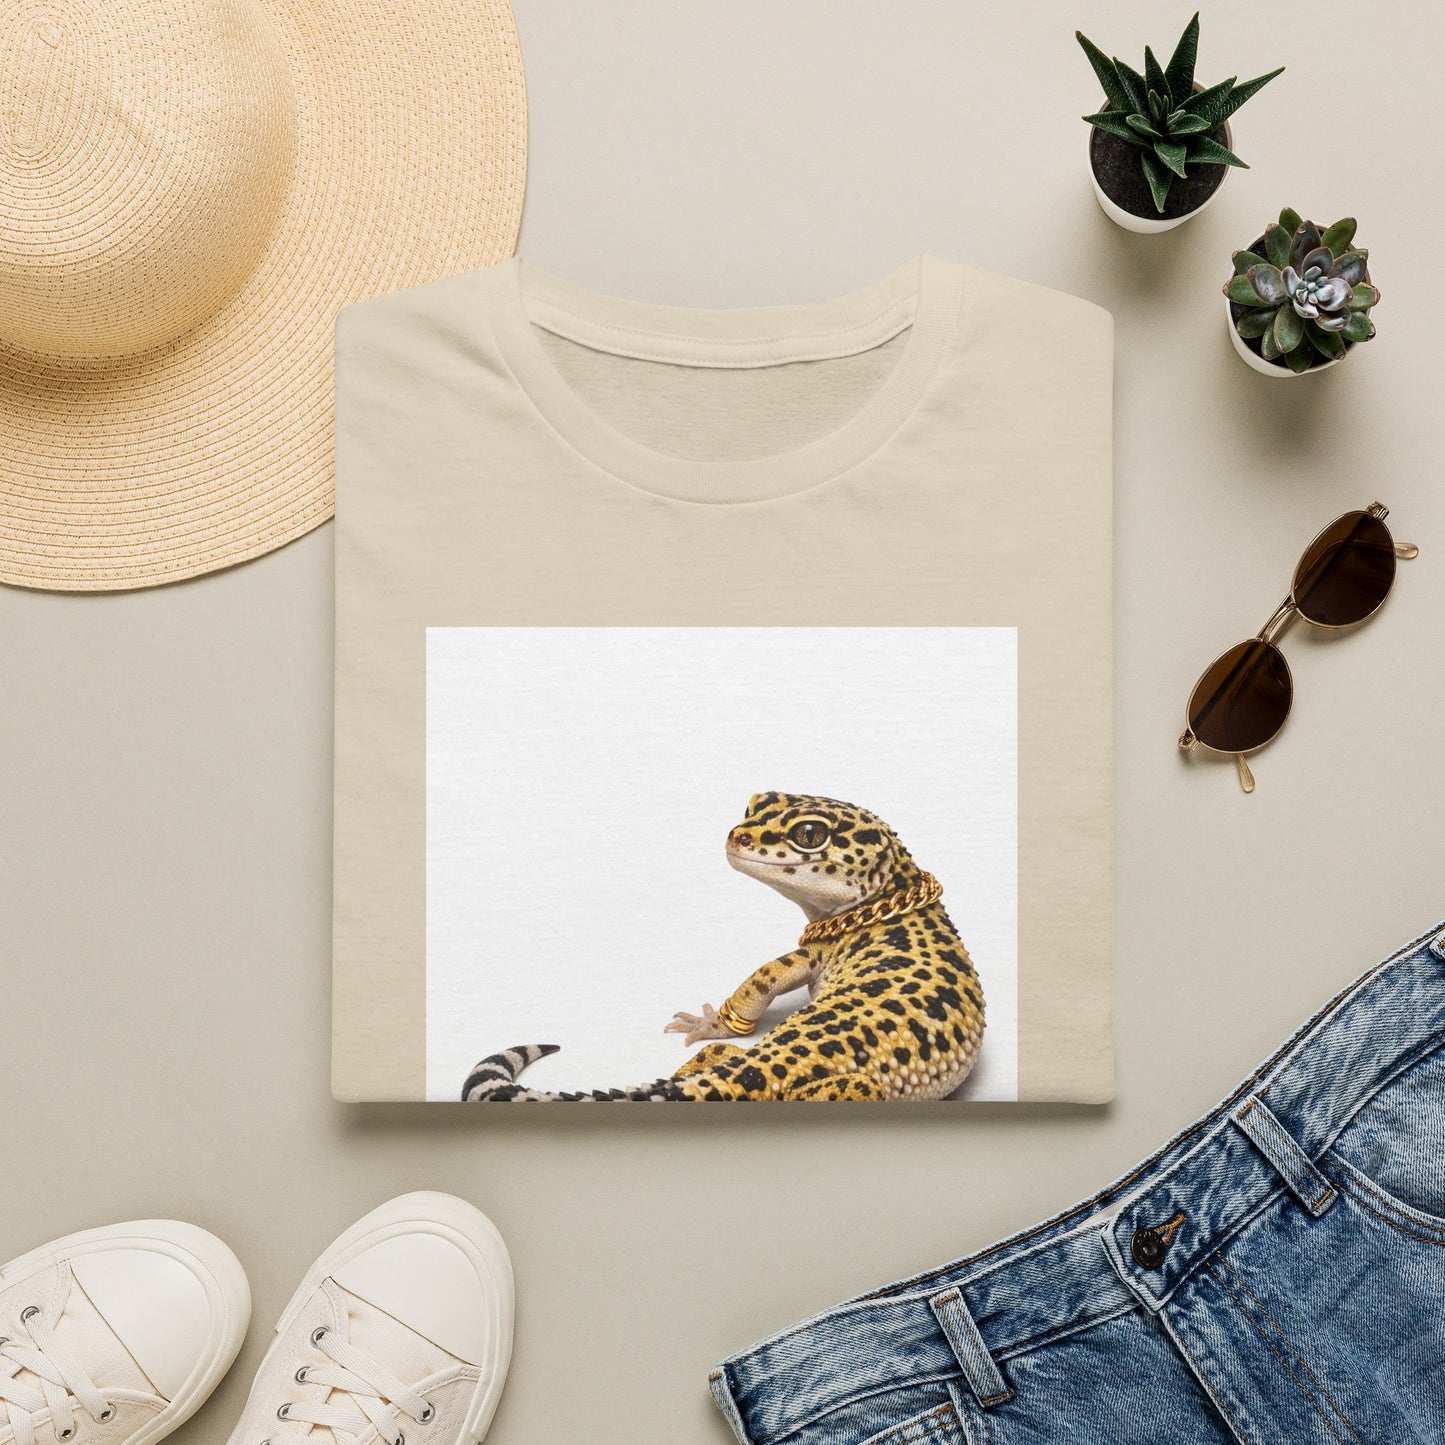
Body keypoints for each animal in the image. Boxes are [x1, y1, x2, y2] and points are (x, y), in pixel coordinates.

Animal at [461, 791, 986, 1102]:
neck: (889, 903)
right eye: (756, 804)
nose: (738, 836)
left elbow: (763, 980)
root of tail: (755, 1067)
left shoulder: (818, 950)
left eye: (809, 833)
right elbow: (758, 987)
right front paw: (710, 1023)